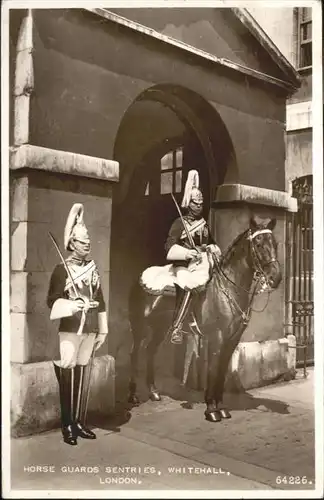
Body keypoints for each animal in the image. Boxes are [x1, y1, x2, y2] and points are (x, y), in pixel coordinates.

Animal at [128, 215, 282, 422]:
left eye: (275, 243)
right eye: (258, 244)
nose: (276, 277)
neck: (228, 288)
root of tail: (140, 278)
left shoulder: (231, 341)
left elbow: (222, 374)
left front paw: (221, 407)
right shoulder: (217, 339)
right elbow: (213, 371)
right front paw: (211, 409)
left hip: (160, 328)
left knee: (150, 351)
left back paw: (153, 392)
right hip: (140, 328)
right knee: (135, 354)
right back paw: (133, 395)